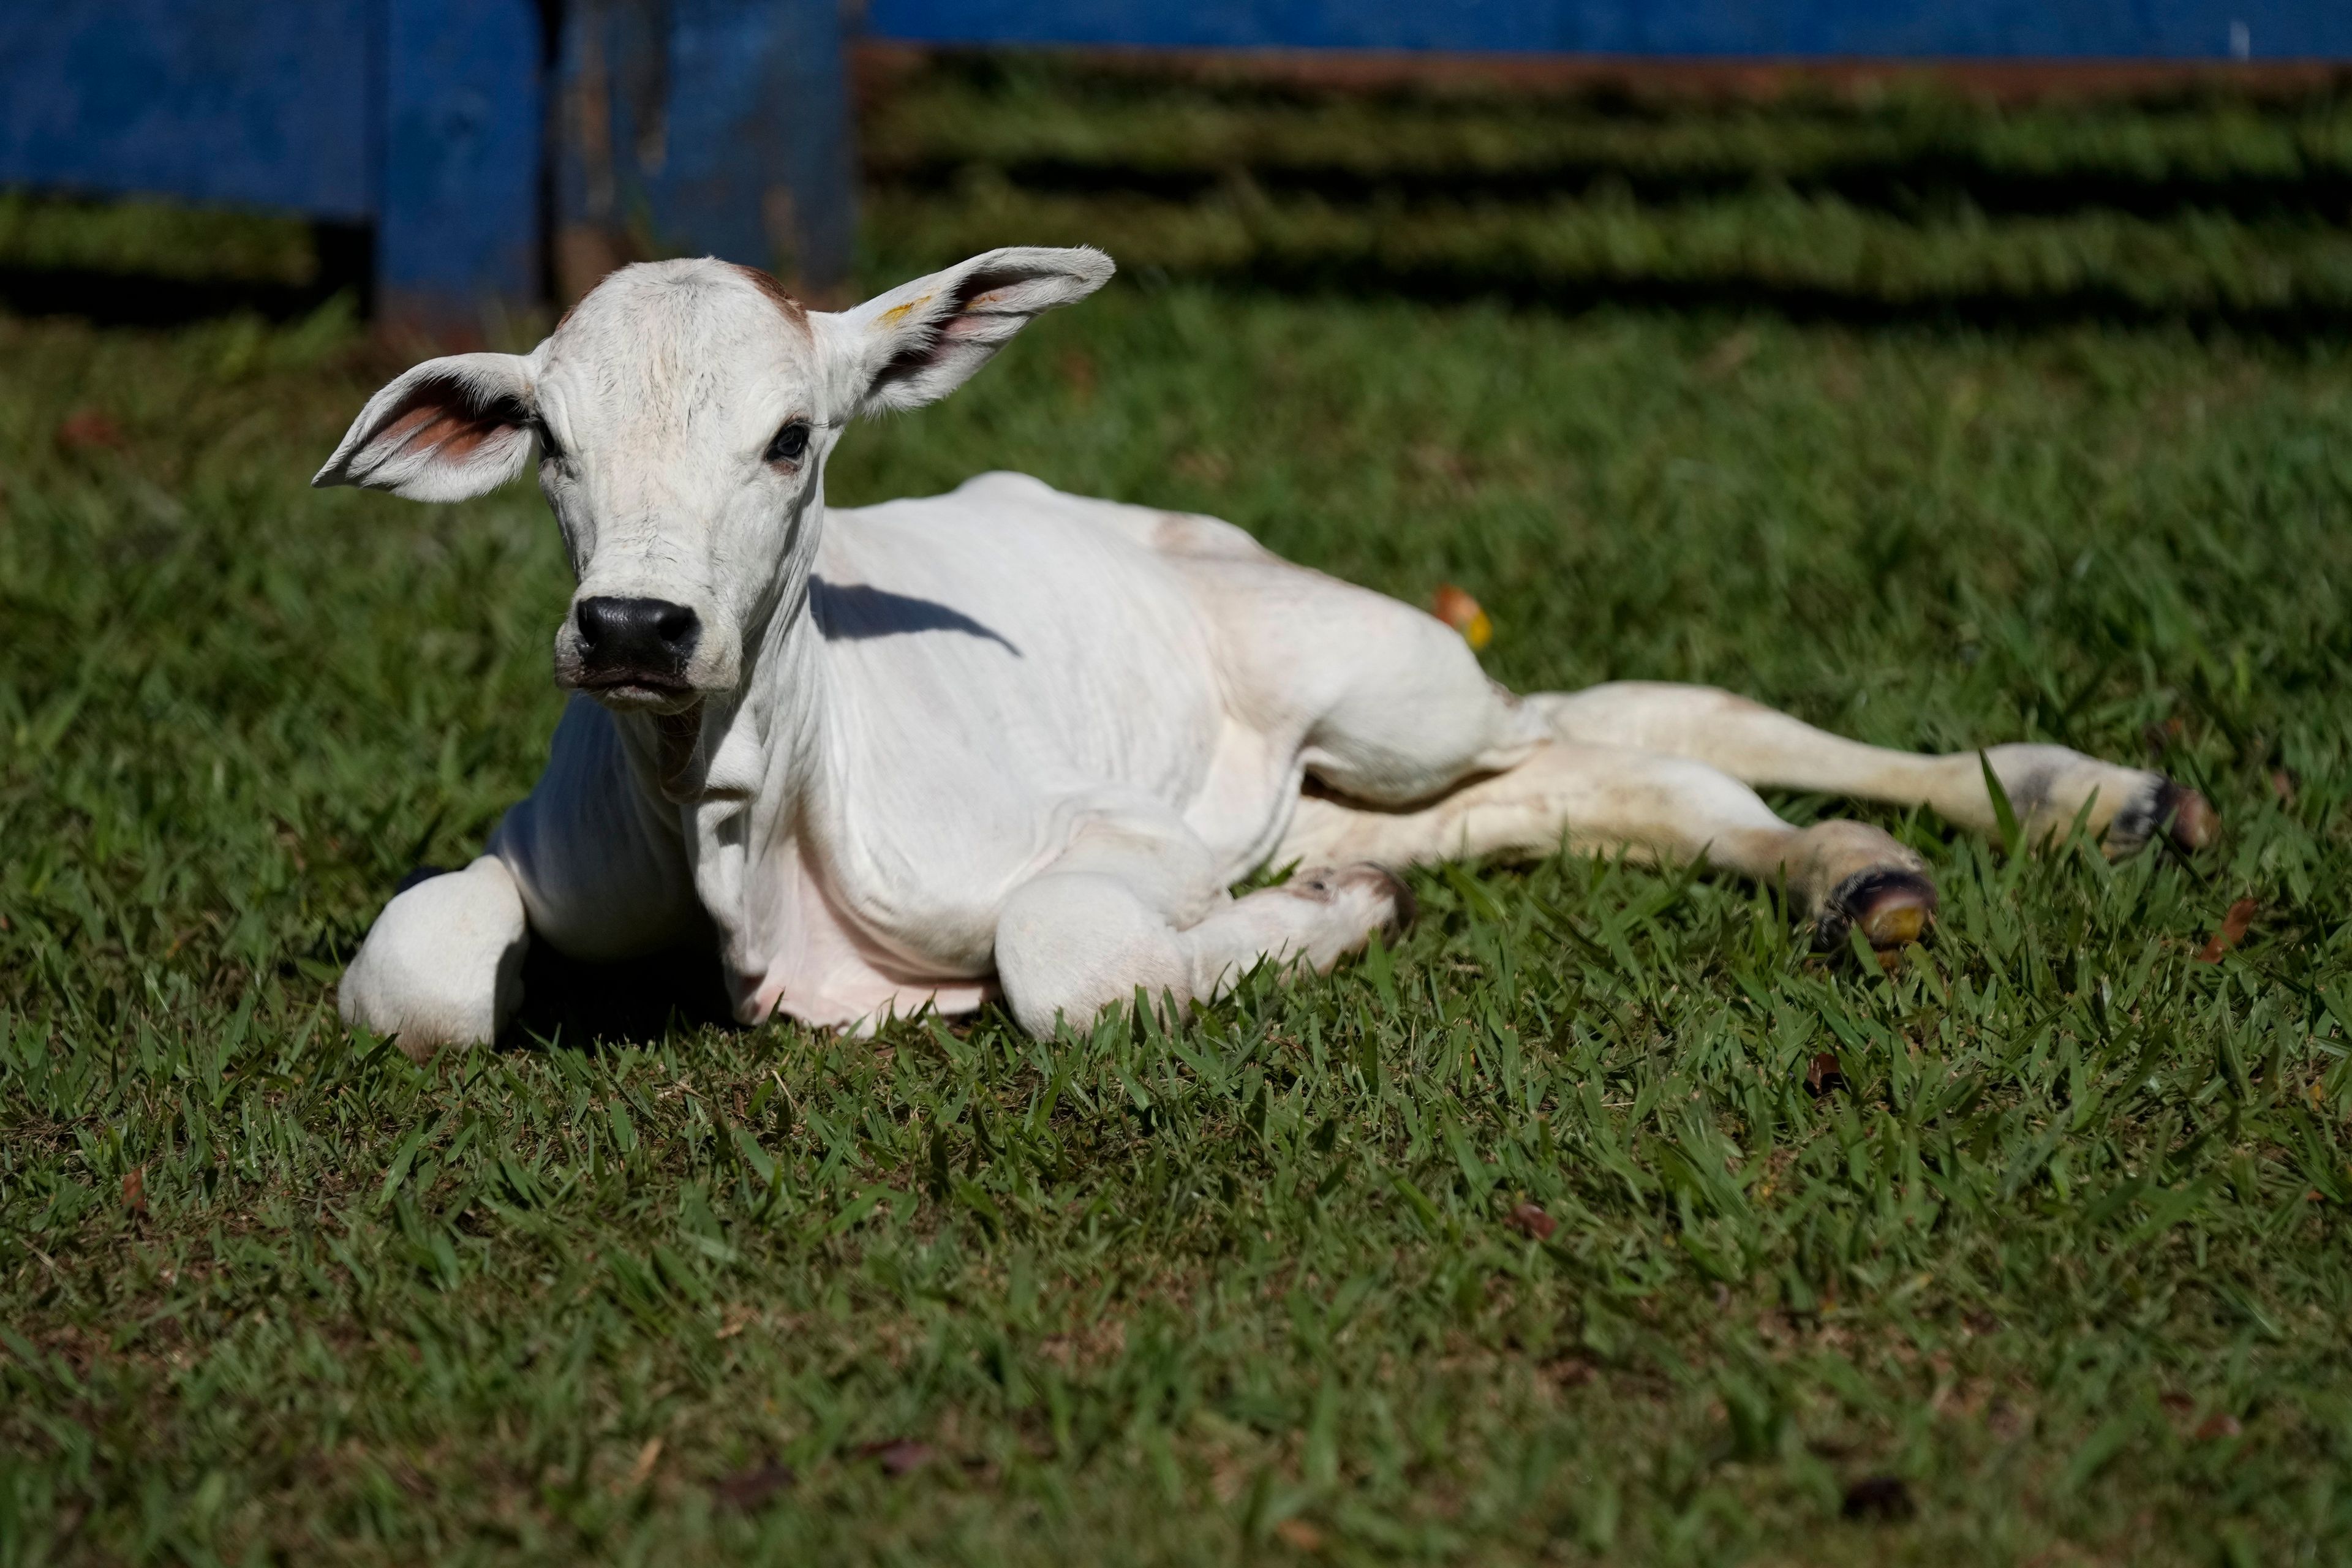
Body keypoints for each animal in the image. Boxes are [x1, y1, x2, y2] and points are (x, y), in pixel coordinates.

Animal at [317, 247, 2220, 1053]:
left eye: (795, 436)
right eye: (550, 444)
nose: (636, 625)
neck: (735, 825)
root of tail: (1195, 535)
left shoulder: (1114, 842)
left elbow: (1065, 966)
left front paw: (1311, 930)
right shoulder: (534, 859)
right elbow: (413, 971)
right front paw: (1329, 915)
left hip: (1388, 691)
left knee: (1633, 721)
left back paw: (2061, 804)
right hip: (1350, 766)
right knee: (1593, 779)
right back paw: (1858, 874)